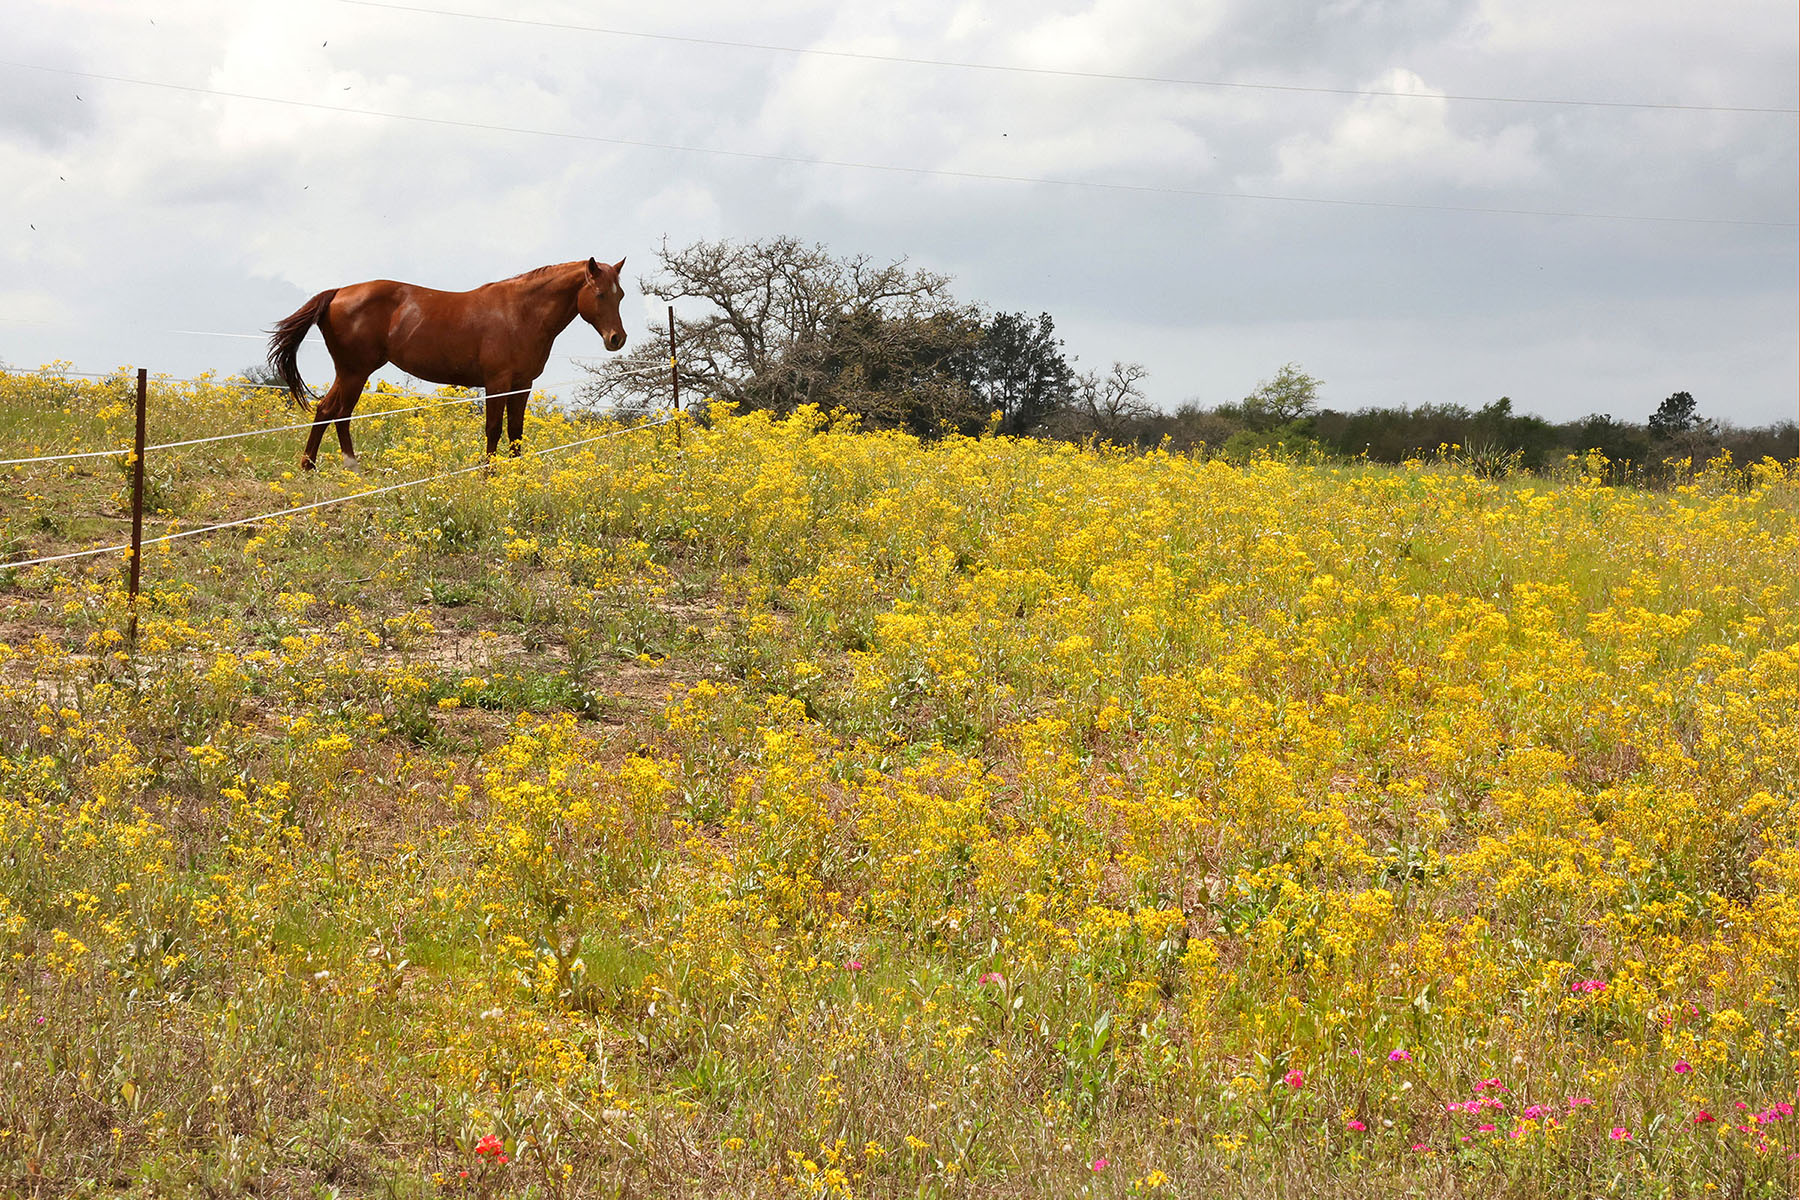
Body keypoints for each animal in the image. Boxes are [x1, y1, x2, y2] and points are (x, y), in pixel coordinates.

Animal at [262, 259, 633, 467]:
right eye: (600, 294)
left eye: (621, 295)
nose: (617, 338)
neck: (521, 312)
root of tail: (338, 292)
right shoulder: (497, 383)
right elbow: (493, 429)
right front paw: (489, 475)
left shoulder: (522, 385)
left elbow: (516, 433)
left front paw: (518, 476)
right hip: (354, 371)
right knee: (333, 411)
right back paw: (325, 466)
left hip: (352, 372)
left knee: (332, 411)